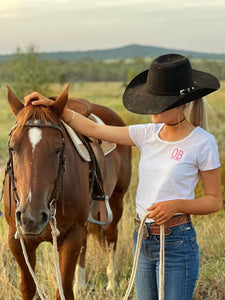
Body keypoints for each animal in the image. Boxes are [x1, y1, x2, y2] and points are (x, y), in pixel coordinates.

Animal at [2, 85, 131, 298]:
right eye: (12, 148)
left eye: (58, 148)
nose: (31, 218)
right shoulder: (17, 240)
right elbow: (28, 288)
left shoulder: (71, 237)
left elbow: (63, 290)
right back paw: (81, 285)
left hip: (115, 202)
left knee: (111, 237)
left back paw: (112, 284)